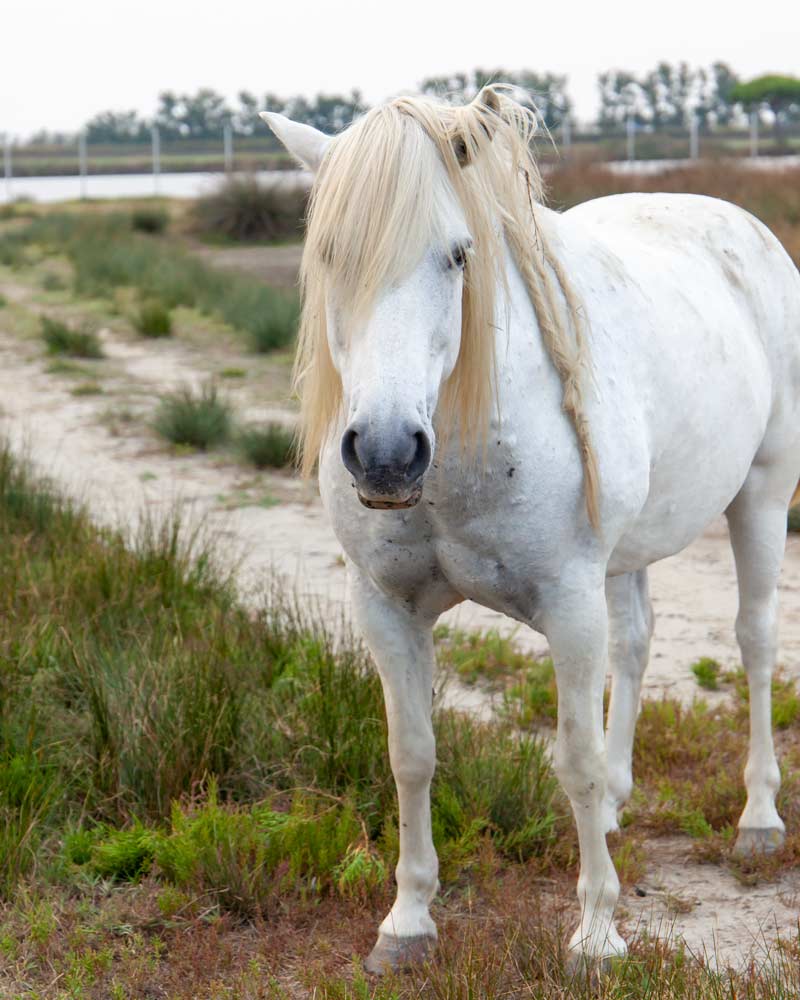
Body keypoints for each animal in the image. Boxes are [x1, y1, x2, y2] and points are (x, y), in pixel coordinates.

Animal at [262, 90, 800, 972]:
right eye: (332, 251)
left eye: (457, 255)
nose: (385, 454)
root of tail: (744, 225)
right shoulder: (386, 609)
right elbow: (411, 756)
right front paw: (406, 922)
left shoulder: (569, 605)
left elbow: (573, 759)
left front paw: (597, 934)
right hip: (629, 551)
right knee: (638, 641)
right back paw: (618, 808)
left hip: (761, 494)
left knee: (754, 642)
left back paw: (757, 819)